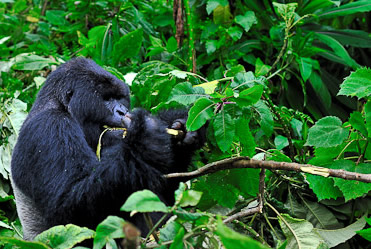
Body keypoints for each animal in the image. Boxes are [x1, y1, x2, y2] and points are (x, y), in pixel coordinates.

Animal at [10, 57, 206, 240]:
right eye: (107, 99)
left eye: (120, 98)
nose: (122, 111)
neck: (60, 105)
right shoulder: (49, 127)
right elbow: (69, 204)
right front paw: (146, 136)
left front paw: (180, 127)